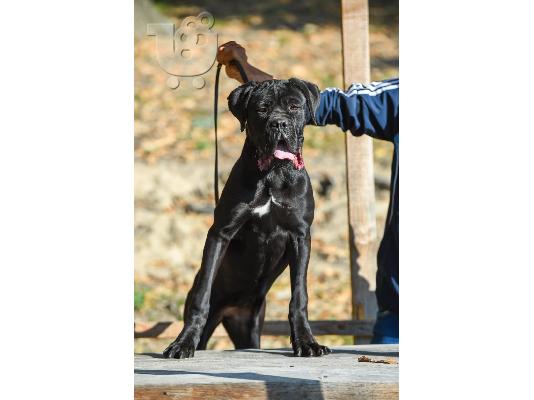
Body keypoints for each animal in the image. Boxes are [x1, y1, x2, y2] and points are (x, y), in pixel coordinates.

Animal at [163, 78, 330, 360]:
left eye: (294, 106)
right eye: (262, 109)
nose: (279, 123)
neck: (274, 174)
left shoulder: (300, 235)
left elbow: (299, 296)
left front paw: (306, 342)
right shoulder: (221, 232)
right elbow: (202, 293)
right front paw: (183, 342)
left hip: (249, 326)